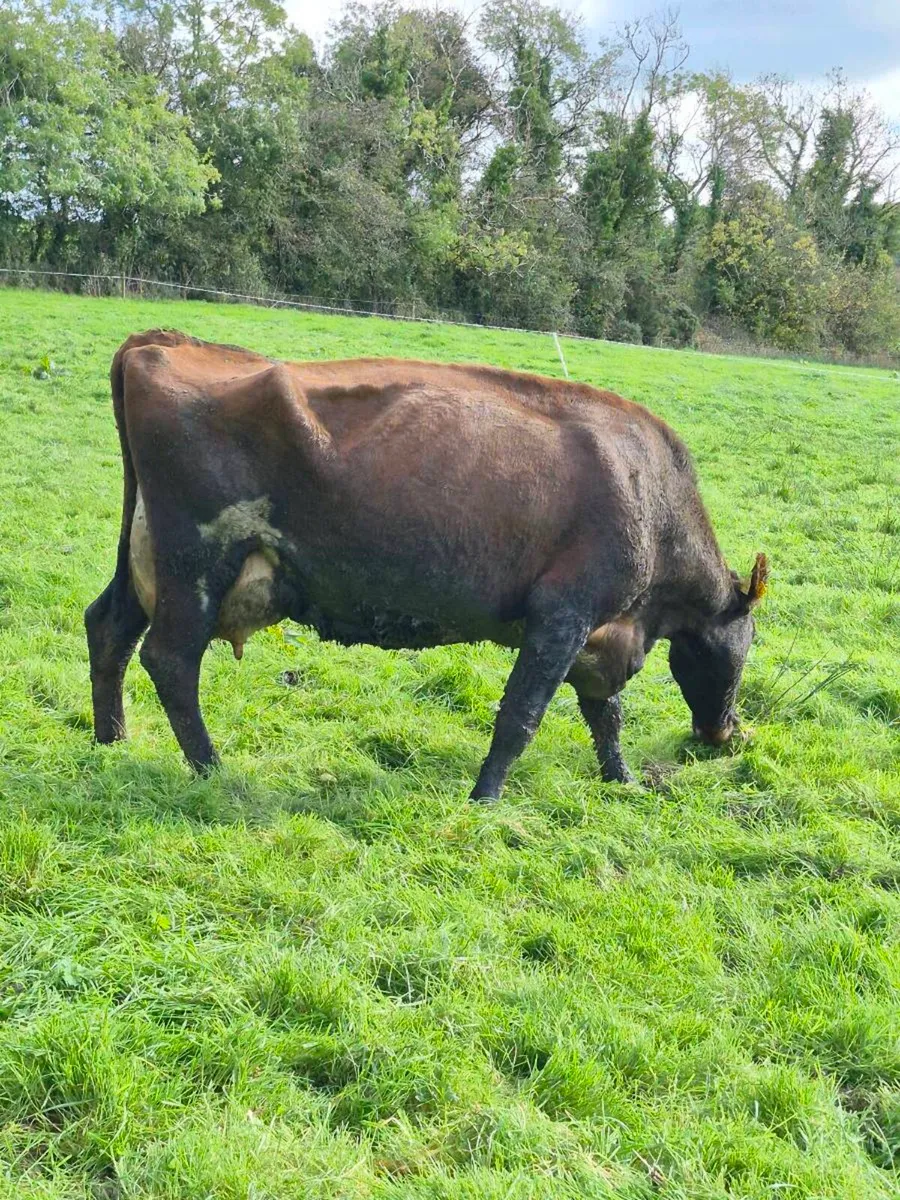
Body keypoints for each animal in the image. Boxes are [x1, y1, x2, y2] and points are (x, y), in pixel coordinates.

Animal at [85, 330, 768, 802]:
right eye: (744, 648)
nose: (727, 733)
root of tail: (161, 342)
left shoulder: (601, 635)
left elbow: (607, 715)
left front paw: (622, 779)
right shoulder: (564, 613)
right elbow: (521, 716)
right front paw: (485, 799)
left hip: (144, 559)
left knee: (109, 625)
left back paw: (110, 739)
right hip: (196, 565)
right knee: (170, 660)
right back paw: (210, 768)